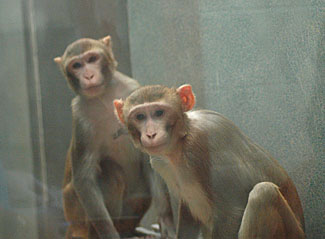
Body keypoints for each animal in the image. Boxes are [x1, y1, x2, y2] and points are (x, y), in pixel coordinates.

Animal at [53, 36, 175, 239]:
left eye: (92, 58)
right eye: (76, 65)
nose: (88, 76)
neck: (104, 98)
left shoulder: (133, 90)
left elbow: (149, 158)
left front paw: (166, 222)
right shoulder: (80, 117)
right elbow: (84, 178)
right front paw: (109, 234)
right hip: (78, 217)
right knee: (110, 171)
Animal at [113, 84, 304, 239]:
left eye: (159, 112)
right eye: (140, 116)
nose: (151, 134)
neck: (181, 143)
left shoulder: (204, 142)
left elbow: (230, 213)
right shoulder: (160, 162)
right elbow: (188, 211)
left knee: (263, 193)